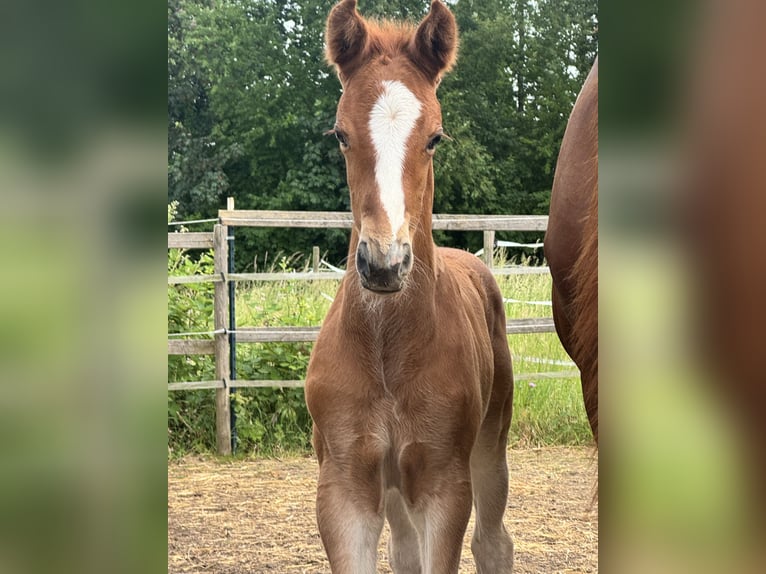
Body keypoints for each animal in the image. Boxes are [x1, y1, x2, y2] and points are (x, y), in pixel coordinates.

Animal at [304, 1, 515, 572]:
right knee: (402, 551)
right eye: (340, 134)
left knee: (493, 542)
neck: (385, 349)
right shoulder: (344, 487)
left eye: (435, 137)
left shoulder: (444, 484)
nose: (385, 264)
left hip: (490, 446)